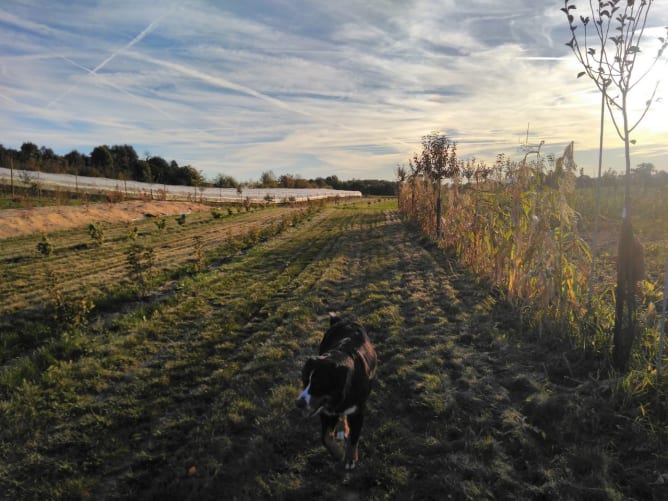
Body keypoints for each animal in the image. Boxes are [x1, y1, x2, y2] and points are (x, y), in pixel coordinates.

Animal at [296, 312, 378, 468]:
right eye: (304, 381)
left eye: (318, 384)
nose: (299, 404)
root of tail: (342, 320)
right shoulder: (326, 412)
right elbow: (326, 438)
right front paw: (339, 453)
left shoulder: (357, 412)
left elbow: (353, 438)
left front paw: (350, 459)